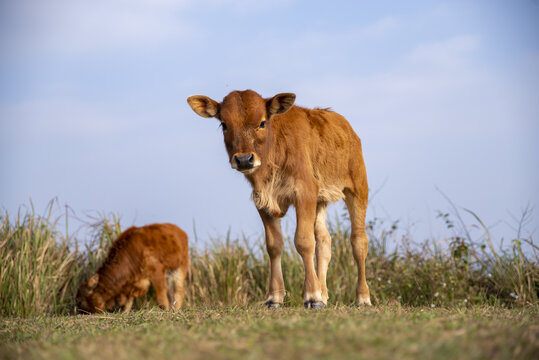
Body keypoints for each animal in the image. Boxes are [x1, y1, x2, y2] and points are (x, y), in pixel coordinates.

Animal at [187, 90, 372, 310]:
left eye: (262, 122)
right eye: (224, 124)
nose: (244, 159)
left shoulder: (305, 192)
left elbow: (304, 241)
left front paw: (312, 296)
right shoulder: (263, 201)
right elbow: (274, 246)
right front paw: (275, 297)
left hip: (358, 188)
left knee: (358, 241)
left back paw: (362, 297)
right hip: (320, 201)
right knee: (324, 241)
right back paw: (325, 294)